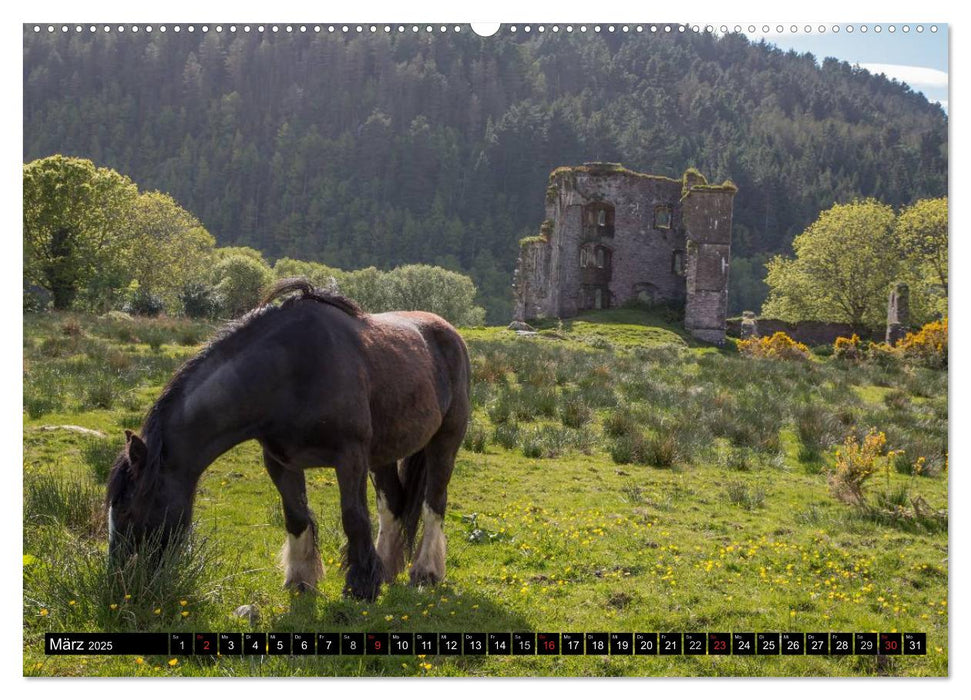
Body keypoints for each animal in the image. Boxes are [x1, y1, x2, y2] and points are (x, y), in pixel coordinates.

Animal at [106, 278, 470, 600]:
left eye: (127, 510)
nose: (121, 582)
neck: (290, 370)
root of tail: (447, 332)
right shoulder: (281, 461)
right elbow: (295, 517)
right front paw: (300, 580)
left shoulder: (350, 456)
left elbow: (353, 517)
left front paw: (361, 586)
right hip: (384, 454)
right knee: (393, 505)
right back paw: (388, 569)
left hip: (444, 442)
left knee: (434, 502)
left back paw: (425, 572)